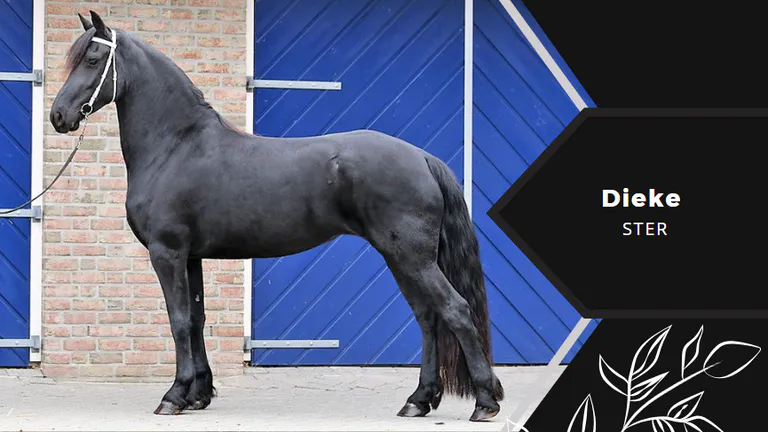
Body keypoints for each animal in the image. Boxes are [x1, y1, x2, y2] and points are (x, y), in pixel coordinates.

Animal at [50, 10, 505, 422]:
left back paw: (484, 402)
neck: (177, 145)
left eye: (92, 59)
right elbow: (196, 319)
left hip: (412, 258)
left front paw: (175, 395)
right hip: (402, 258)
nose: (59, 116)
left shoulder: (167, 253)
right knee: (428, 317)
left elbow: (178, 321)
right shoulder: (191, 256)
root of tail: (423, 157)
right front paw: (199, 394)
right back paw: (419, 400)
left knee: (455, 310)